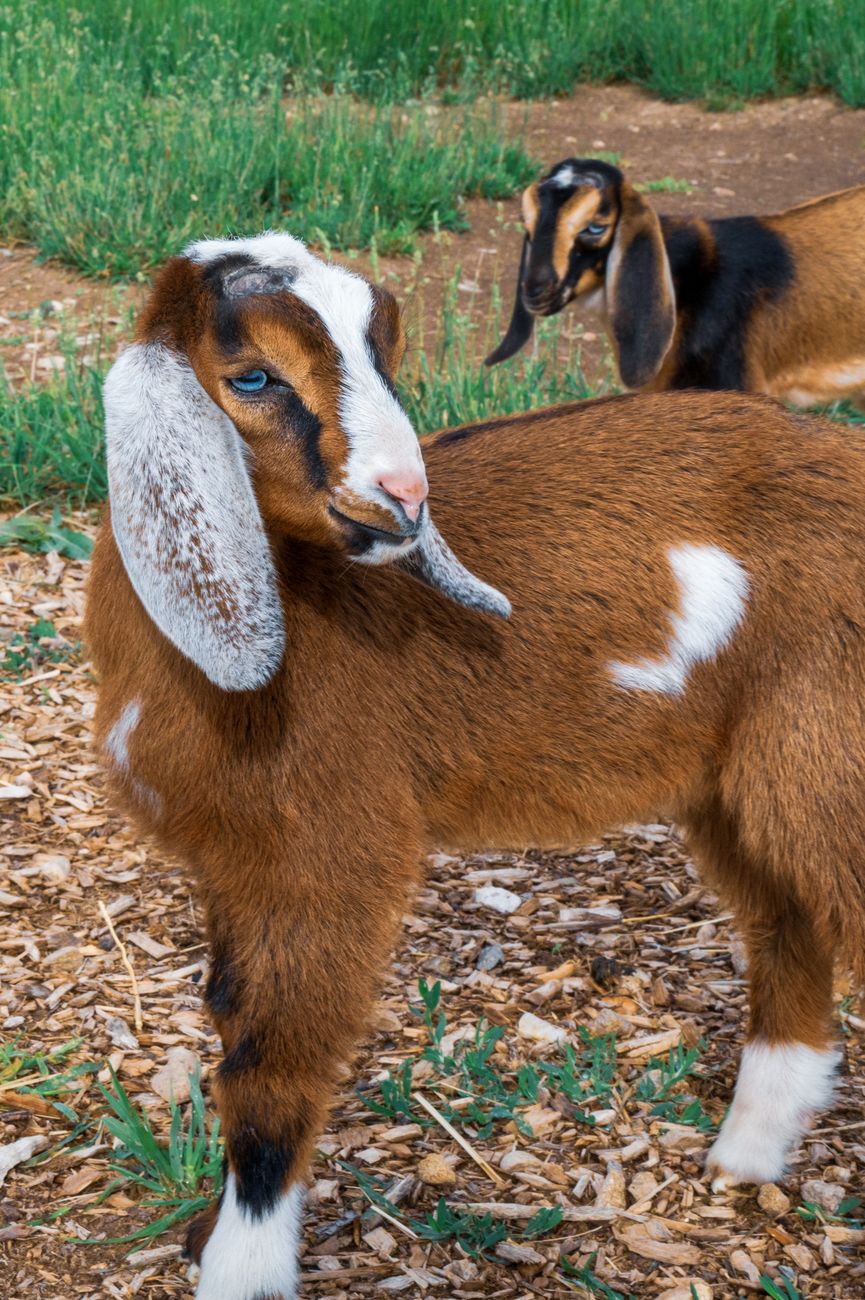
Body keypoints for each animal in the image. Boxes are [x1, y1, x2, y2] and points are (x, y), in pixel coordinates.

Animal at [86, 231, 865, 1300]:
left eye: (385, 353)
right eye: (249, 376)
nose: (406, 499)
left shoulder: (329, 848)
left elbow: (269, 1065)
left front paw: (241, 1269)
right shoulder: (230, 862)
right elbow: (230, 1018)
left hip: (826, 748)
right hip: (744, 777)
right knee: (789, 927)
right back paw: (744, 1156)